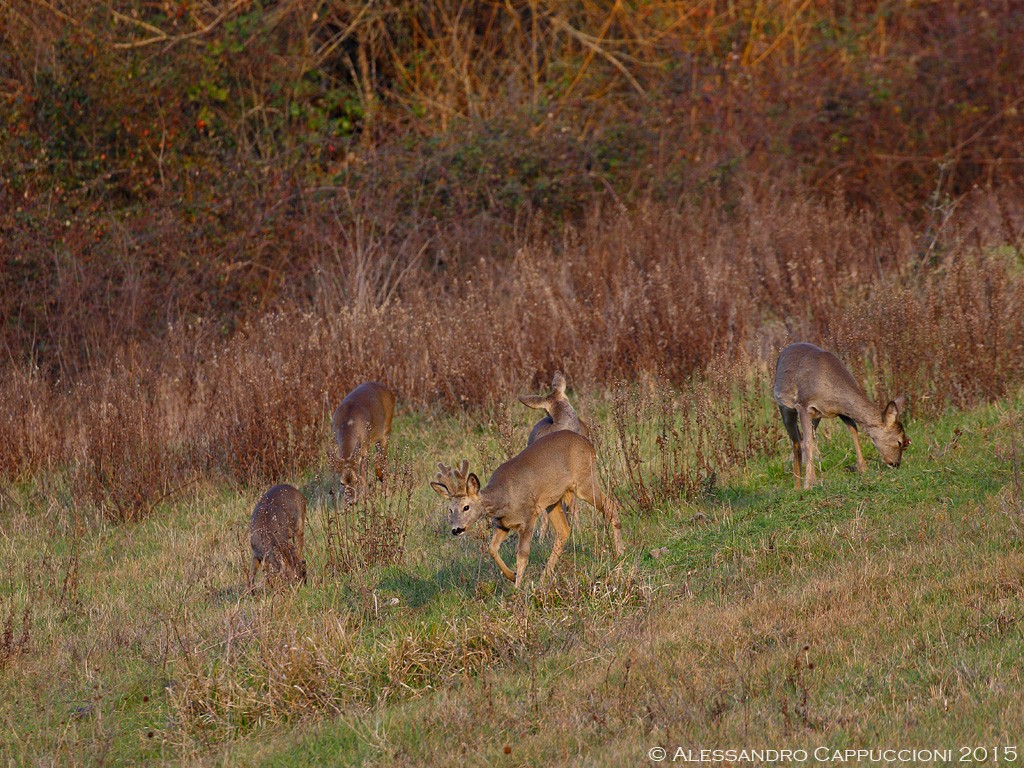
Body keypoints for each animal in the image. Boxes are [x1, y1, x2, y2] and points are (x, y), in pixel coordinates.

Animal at [425, 434, 618, 589]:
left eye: (466, 507)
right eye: (450, 510)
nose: (456, 529)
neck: (504, 499)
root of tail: (589, 444)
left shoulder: (528, 517)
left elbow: (523, 554)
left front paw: (517, 589)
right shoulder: (502, 524)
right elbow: (492, 548)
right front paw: (512, 575)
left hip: (584, 481)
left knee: (611, 506)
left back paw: (619, 553)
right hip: (553, 500)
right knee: (564, 531)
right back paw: (544, 577)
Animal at [770, 344, 909, 489]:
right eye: (899, 441)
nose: (896, 463)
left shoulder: (840, 411)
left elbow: (853, 430)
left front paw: (863, 468)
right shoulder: (804, 405)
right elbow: (808, 443)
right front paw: (809, 484)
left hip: (816, 417)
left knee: (803, 440)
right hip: (785, 407)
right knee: (796, 442)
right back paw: (798, 486)